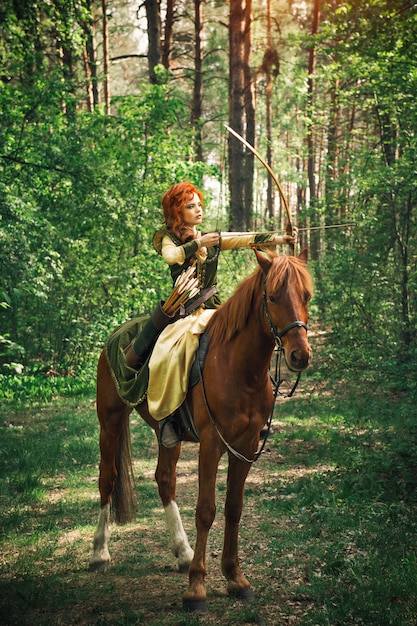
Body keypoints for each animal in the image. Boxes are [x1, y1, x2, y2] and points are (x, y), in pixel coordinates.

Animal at [89, 247, 310, 608]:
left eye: (306, 296)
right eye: (273, 297)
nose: (300, 355)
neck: (239, 367)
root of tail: (116, 334)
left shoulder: (245, 447)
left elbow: (234, 508)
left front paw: (235, 578)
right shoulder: (211, 443)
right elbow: (206, 510)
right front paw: (196, 588)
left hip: (167, 433)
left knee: (165, 480)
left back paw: (182, 552)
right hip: (109, 422)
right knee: (107, 480)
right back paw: (99, 553)